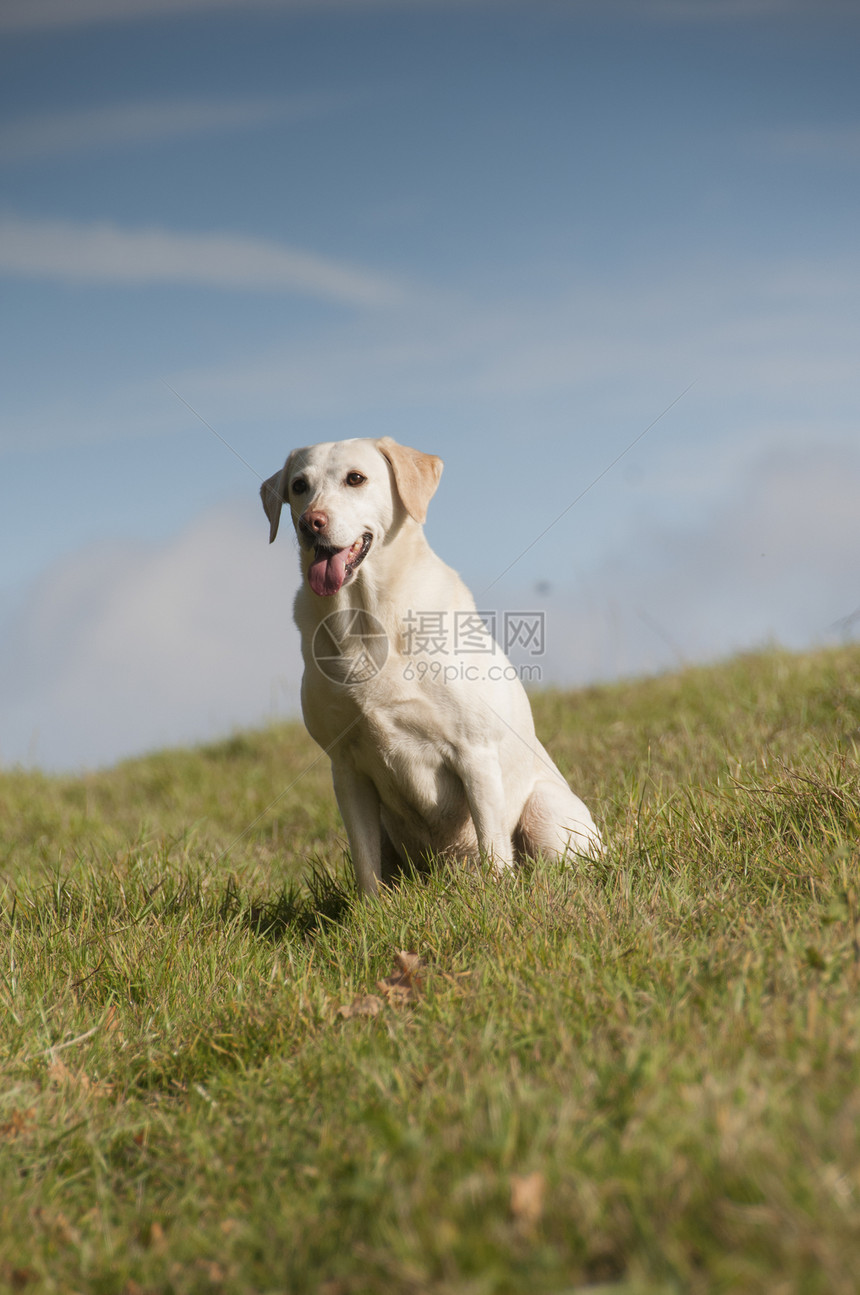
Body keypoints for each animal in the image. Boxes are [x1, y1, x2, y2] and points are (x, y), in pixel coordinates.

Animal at [261, 440, 598, 896]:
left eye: (355, 478)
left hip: (545, 809)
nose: (310, 523)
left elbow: (492, 844)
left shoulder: (474, 752)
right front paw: (371, 911)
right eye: (299, 485)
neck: (366, 623)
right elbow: (365, 862)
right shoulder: (346, 770)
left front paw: (497, 895)